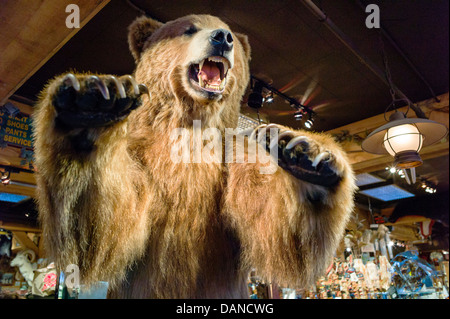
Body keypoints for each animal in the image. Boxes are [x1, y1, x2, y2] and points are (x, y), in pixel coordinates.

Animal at [31, 14, 356, 300]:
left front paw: (307, 157)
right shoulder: (141, 152)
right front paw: (92, 102)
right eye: (188, 29)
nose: (222, 38)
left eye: (229, 32)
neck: (192, 123)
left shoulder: (233, 159)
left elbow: (274, 229)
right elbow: (107, 225)